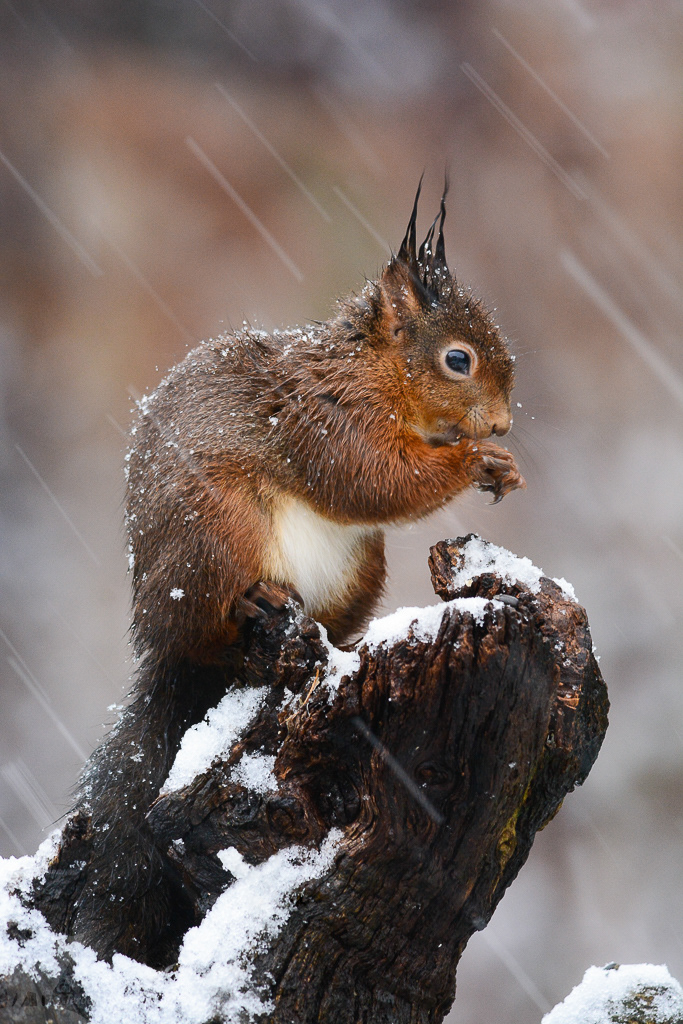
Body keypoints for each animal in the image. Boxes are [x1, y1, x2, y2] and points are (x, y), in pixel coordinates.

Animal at [69, 181, 525, 967]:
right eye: (457, 360)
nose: (497, 426)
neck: (369, 371)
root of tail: (158, 639)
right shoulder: (324, 422)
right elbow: (373, 480)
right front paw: (472, 462)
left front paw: (504, 468)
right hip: (215, 534)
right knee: (206, 632)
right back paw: (252, 608)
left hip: (358, 568)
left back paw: (340, 645)